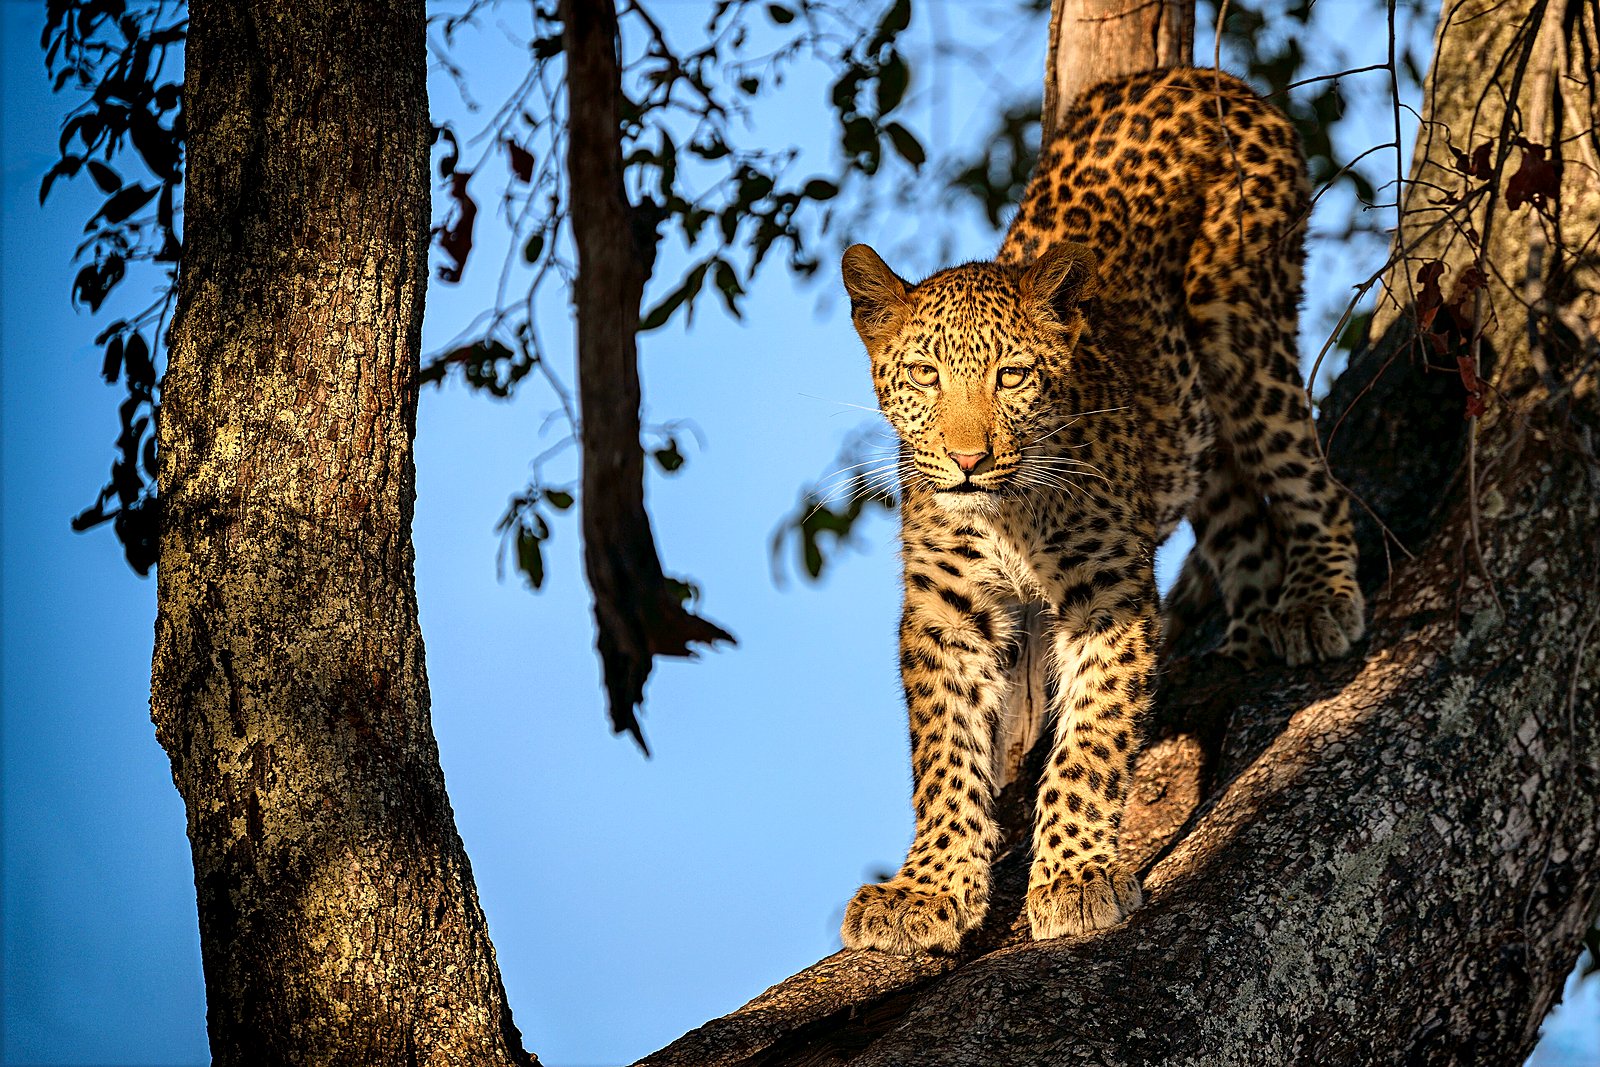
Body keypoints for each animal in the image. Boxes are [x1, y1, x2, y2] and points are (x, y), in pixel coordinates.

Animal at [836, 67, 1364, 955]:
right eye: (924, 375)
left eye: (1013, 376)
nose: (968, 459)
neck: (1008, 514)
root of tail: (1209, 76)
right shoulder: (946, 612)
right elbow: (944, 754)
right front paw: (926, 890)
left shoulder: (1107, 596)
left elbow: (1090, 742)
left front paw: (1075, 878)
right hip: (1190, 410)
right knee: (1232, 502)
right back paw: (1247, 626)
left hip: (1239, 324)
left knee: (1308, 468)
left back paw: (1317, 599)